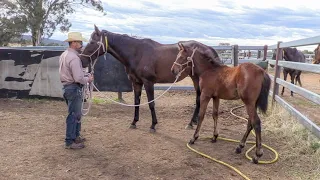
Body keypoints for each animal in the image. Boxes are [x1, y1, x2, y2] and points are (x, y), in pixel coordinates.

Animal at [79, 25, 221, 132]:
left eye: (92, 42)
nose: (82, 60)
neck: (137, 53)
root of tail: (209, 48)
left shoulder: (148, 82)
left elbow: (151, 103)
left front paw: (153, 125)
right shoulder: (136, 83)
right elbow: (137, 102)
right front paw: (134, 122)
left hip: (197, 78)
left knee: (199, 98)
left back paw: (191, 122)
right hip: (194, 78)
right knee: (198, 98)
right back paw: (192, 122)